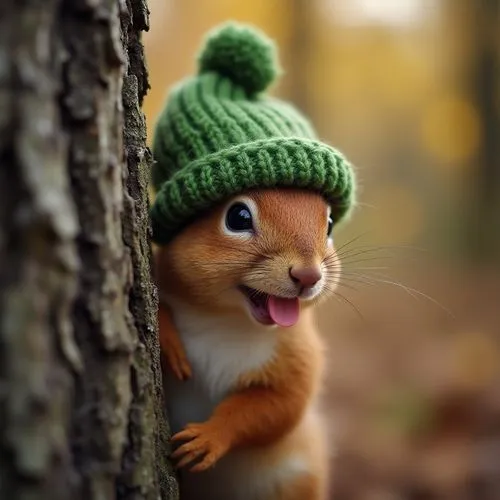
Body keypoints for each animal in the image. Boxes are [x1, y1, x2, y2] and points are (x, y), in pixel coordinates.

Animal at [148, 21, 356, 498]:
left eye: (329, 223)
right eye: (238, 217)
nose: (308, 275)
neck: (226, 320)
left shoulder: (297, 355)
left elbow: (272, 410)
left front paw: (208, 438)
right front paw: (168, 338)